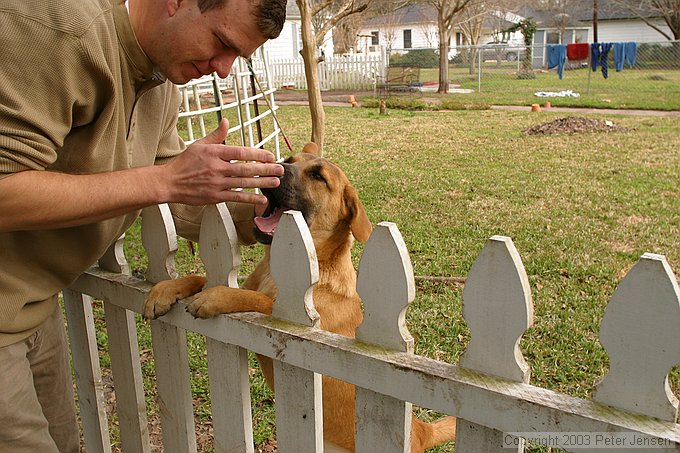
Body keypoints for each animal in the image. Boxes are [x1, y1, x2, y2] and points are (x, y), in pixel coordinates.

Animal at [143, 143, 454, 450]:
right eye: (290, 160)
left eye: (318, 176)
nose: (276, 167)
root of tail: (420, 431)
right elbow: (202, 278)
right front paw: (165, 290)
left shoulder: (299, 320)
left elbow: (255, 298)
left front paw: (215, 297)